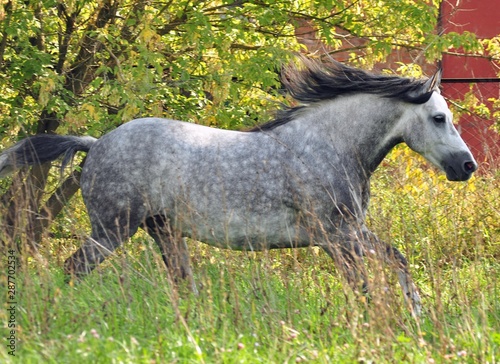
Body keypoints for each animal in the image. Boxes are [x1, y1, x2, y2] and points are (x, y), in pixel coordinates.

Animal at [0, 58, 476, 314]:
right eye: (439, 118)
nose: (467, 166)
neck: (326, 147)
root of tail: (96, 143)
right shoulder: (338, 236)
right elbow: (378, 276)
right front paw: (404, 319)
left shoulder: (345, 237)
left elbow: (385, 268)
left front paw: (408, 317)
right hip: (112, 229)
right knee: (71, 271)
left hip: (163, 231)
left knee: (183, 285)